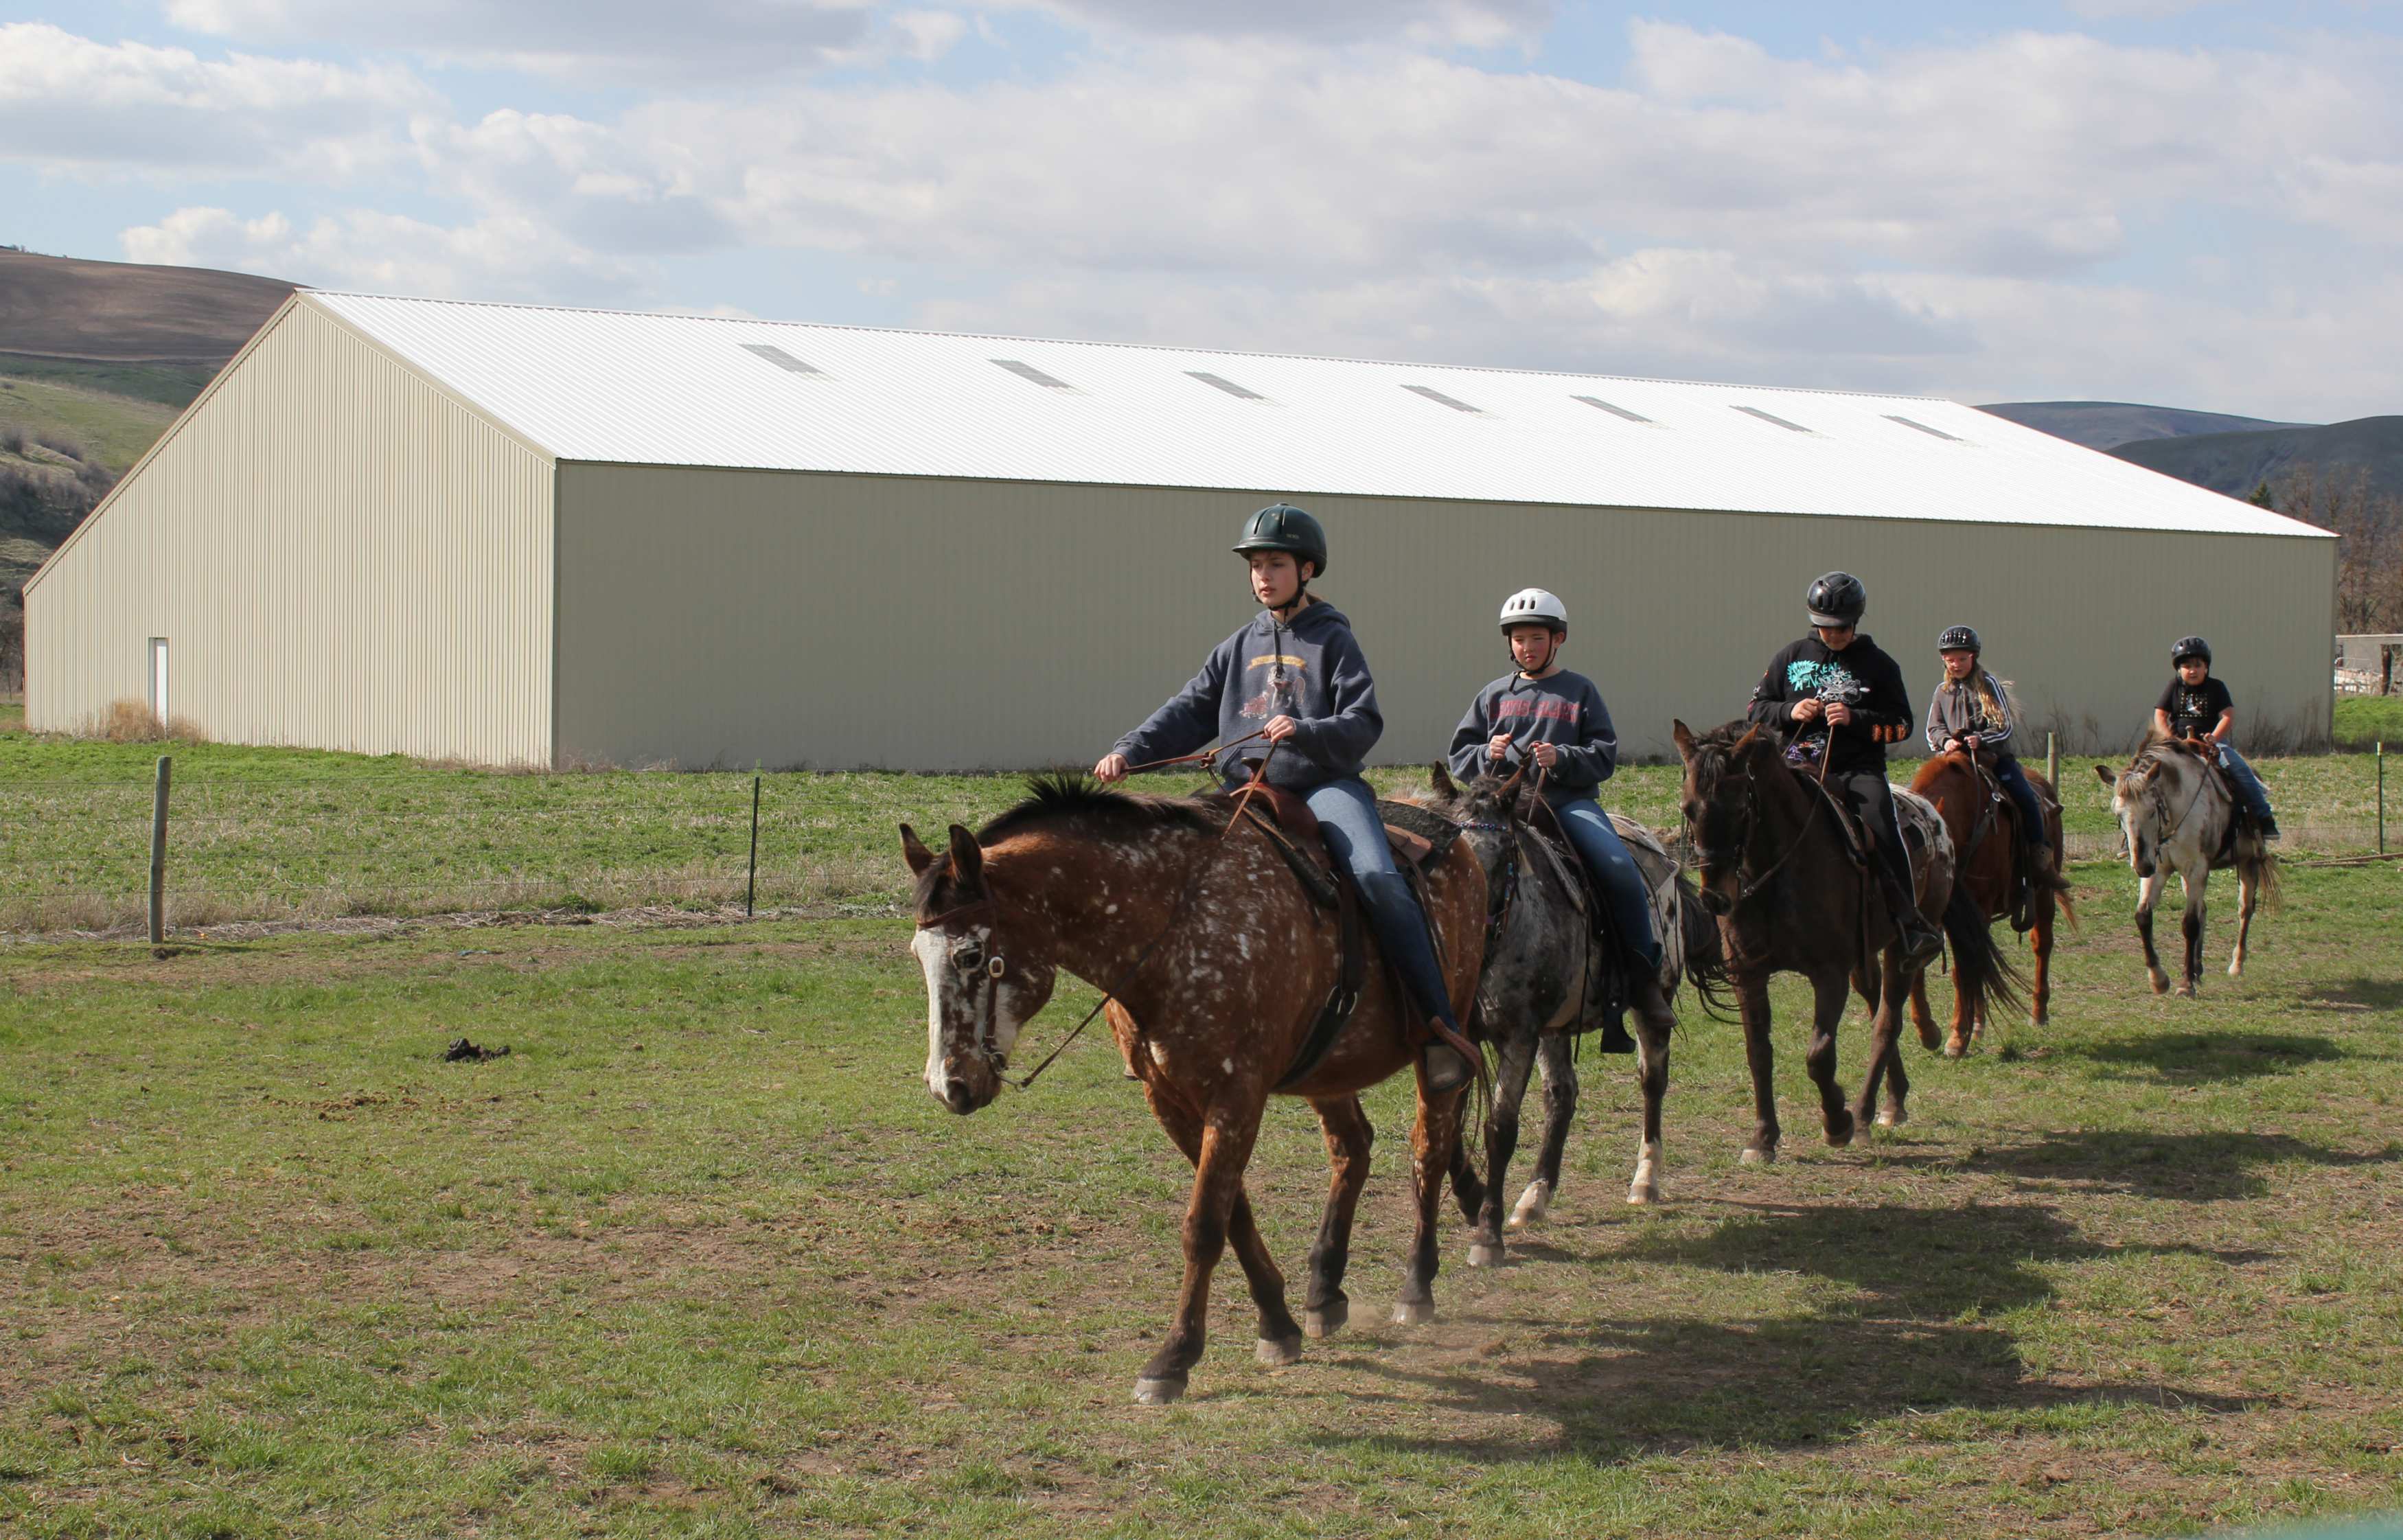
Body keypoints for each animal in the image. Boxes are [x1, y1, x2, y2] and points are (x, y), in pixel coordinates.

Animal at [904, 778, 1480, 1403]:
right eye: (917, 955)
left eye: (970, 954)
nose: (949, 1085)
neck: (1177, 929)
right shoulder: (1170, 1099)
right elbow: (1234, 1213)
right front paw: (1276, 1323)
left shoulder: (1236, 1095)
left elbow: (1203, 1225)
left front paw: (1174, 1357)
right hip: (1327, 1069)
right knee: (1352, 1148)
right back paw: (1325, 1291)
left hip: (1443, 1047)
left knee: (1429, 1148)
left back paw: (1416, 1286)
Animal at [1403, 763, 1730, 1268]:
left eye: (1505, 858)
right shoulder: (1463, 1036)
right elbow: (1450, 1126)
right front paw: (1474, 1199)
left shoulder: (1519, 1034)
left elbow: (1499, 1129)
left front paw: (1487, 1235)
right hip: (1555, 1028)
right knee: (1561, 1096)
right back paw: (1534, 1197)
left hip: (1650, 1002)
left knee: (1652, 1081)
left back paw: (1646, 1179)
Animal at [1672, 720, 2028, 1153]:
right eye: (1688, 809)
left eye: (1741, 807)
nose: (1717, 898)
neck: (1780, 871)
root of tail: (1934, 816)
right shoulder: (1749, 973)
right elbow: (1758, 1052)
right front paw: (1762, 1137)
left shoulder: (1830, 974)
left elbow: (1819, 1054)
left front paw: (1836, 1121)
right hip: (1864, 957)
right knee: (1876, 1008)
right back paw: (1893, 1099)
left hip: (1900, 949)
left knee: (1887, 1022)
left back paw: (1866, 1111)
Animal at [1903, 749, 2076, 1057]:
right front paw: (1929, 1031)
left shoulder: (1977, 908)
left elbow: (1962, 970)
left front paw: (1957, 1037)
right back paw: (1980, 1024)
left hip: (2044, 891)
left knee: (2042, 944)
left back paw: (2038, 1012)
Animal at [2095, 735, 2278, 999]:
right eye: (2119, 815)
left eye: (2151, 811)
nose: (2140, 866)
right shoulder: (2159, 870)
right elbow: (2143, 916)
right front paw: (2159, 979)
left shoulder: (2195, 869)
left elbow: (2189, 924)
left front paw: (2185, 984)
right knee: (2203, 910)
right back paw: (2198, 969)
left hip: (2248, 862)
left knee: (2245, 909)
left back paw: (2236, 965)